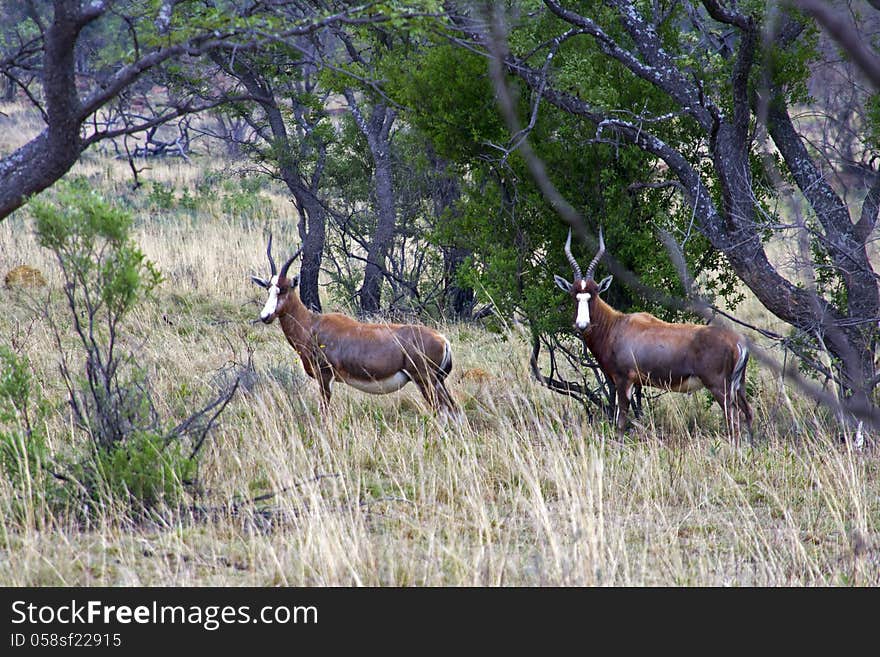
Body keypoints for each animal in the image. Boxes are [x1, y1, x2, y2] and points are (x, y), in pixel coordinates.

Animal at [249, 236, 460, 420]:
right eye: (268, 289)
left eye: (283, 289)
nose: (265, 316)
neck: (313, 324)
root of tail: (443, 340)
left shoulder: (325, 377)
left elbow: (324, 413)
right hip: (438, 382)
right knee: (454, 410)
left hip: (425, 381)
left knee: (443, 411)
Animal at [552, 227, 752, 440]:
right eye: (574, 295)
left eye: (594, 294)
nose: (582, 325)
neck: (617, 325)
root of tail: (738, 342)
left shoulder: (624, 380)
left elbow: (621, 422)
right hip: (738, 386)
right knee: (748, 413)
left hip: (719, 387)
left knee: (734, 422)